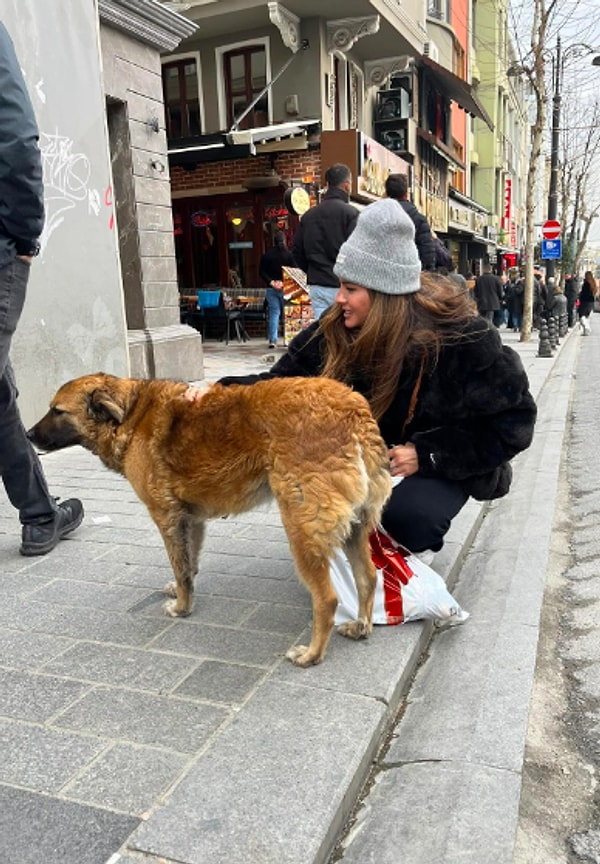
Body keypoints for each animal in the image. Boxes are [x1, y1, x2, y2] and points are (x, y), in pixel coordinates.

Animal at [30, 372, 392, 668]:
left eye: (57, 411)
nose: (29, 434)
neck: (131, 414)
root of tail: (354, 411)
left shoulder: (166, 517)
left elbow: (180, 566)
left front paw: (181, 607)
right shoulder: (191, 519)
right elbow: (189, 565)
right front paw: (182, 593)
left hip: (302, 529)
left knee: (327, 599)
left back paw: (312, 654)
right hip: (354, 528)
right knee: (368, 577)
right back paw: (361, 627)